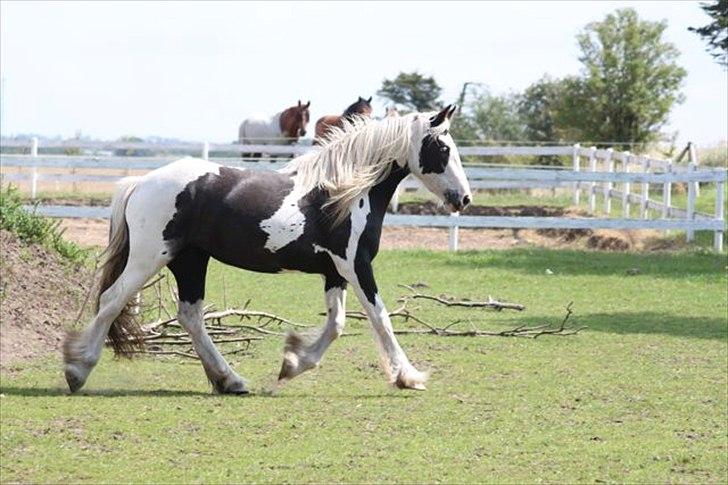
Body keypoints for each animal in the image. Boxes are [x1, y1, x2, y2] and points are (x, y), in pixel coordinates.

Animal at [64, 104, 472, 392]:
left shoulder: (335, 272)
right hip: (151, 257)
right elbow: (381, 319)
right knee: (112, 300)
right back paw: (77, 369)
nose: (464, 198)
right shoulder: (356, 266)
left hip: (190, 261)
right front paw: (409, 376)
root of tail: (141, 182)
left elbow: (337, 324)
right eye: (442, 147)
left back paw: (229, 381)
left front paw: (293, 362)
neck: (342, 193)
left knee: (190, 316)